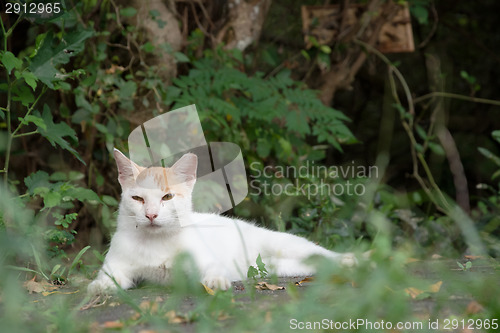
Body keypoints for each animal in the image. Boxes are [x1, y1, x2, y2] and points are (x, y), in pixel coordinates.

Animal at [89, 148, 356, 294]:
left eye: (167, 197)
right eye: (137, 198)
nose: (151, 215)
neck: (156, 242)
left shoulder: (206, 260)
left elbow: (213, 270)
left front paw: (215, 282)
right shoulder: (116, 266)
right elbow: (108, 277)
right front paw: (100, 286)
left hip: (287, 244)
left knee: (323, 253)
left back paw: (354, 259)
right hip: (282, 266)